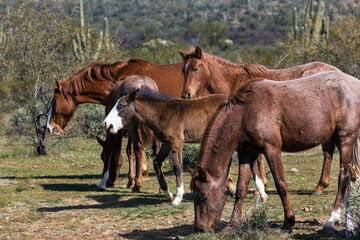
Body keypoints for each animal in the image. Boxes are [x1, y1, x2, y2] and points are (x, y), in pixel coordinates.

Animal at [47, 59, 183, 191]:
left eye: (54, 102)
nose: (50, 128)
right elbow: (129, 150)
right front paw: (132, 179)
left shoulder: (115, 128)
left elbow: (112, 150)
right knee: (155, 148)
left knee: (139, 147)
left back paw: (137, 185)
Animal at [102, 89, 266, 204]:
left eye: (121, 106)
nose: (106, 124)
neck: (164, 114)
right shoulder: (166, 144)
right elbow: (156, 163)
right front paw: (168, 193)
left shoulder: (177, 143)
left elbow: (178, 167)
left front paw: (177, 198)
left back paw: (260, 192)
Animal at [179, 46, 342, 196]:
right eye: (183, 70)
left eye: (195, 68)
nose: (186, 95)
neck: (235, 83)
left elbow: (258, 158)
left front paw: (259, 187)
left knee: (328, 151)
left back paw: (320, 186)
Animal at [188, 70, 360, 233]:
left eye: (204, 198)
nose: (200, 229)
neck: (245, 112)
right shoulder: (246, 154)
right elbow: (241, 189)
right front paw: (232, 224)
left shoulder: (272, 150)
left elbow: (281, 185)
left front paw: (288, 222)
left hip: (345, 139)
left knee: (343, 177)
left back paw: (332, 220)